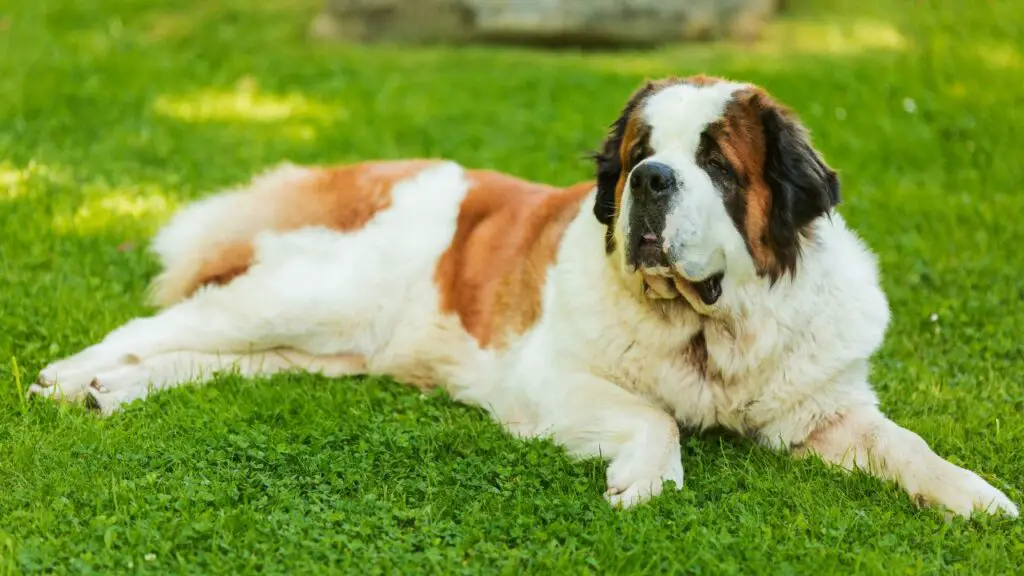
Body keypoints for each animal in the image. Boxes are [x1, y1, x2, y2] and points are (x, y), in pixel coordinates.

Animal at [29, 73, 1015, 518]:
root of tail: (355, 168)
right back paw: (71, 375)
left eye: (714, 163)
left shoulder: (823, 407)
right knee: (162, 321)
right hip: (308, 296)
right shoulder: (547, 382)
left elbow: (906, 444)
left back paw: (113, 389)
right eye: (640, 153)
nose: (649, 181)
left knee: (208, 354)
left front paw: (978, 498)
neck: (709, 328)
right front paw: (646, 479)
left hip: (325, 348)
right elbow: (650, 416)